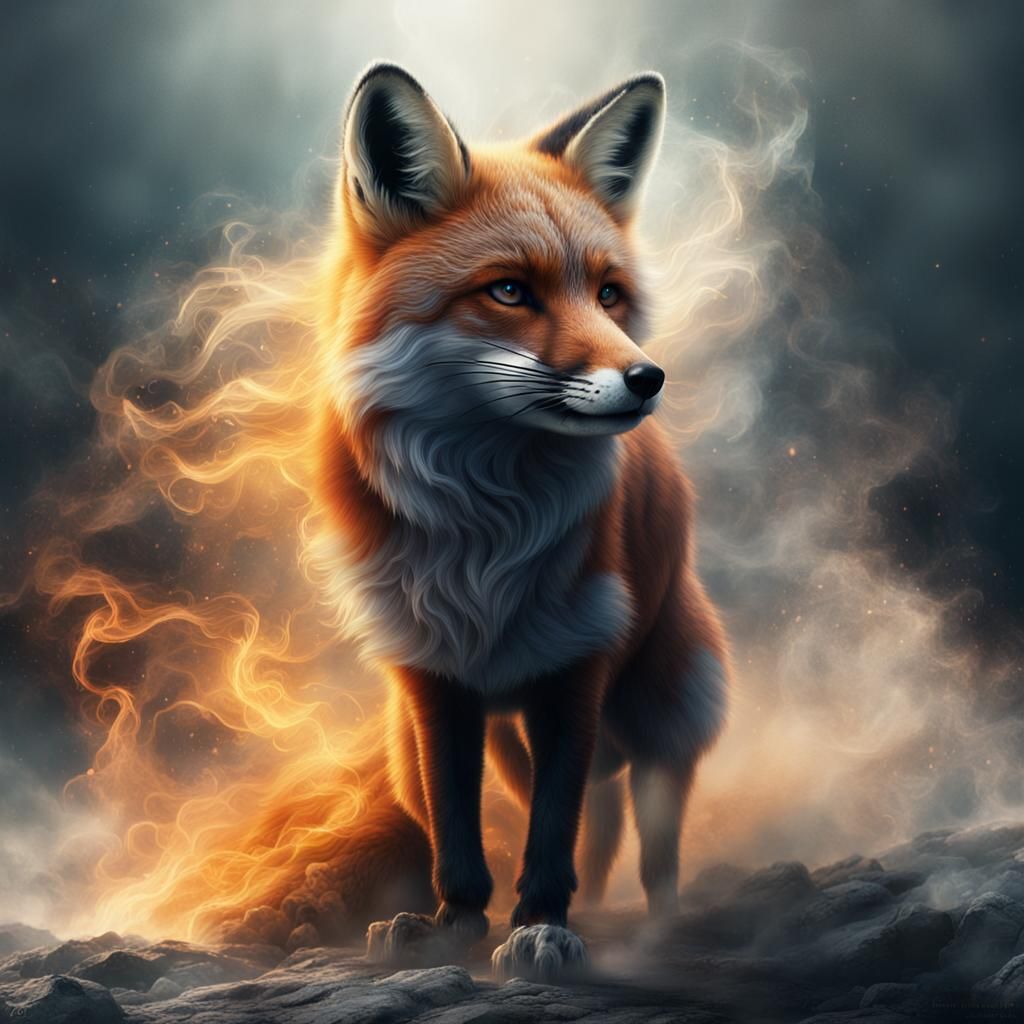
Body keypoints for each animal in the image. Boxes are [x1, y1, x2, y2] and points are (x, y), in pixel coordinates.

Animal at [312, 62, 730, 978]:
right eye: (509, 291)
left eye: (608, 294)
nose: (647, 378)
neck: (486, 530)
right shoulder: (433, 676)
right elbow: (458, 831)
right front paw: (455, 923)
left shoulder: (579, 663)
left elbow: (554, 832)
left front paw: (543, 927)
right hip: (412, 747)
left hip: (666, 709)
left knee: (650, 838)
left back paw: (660, 925)